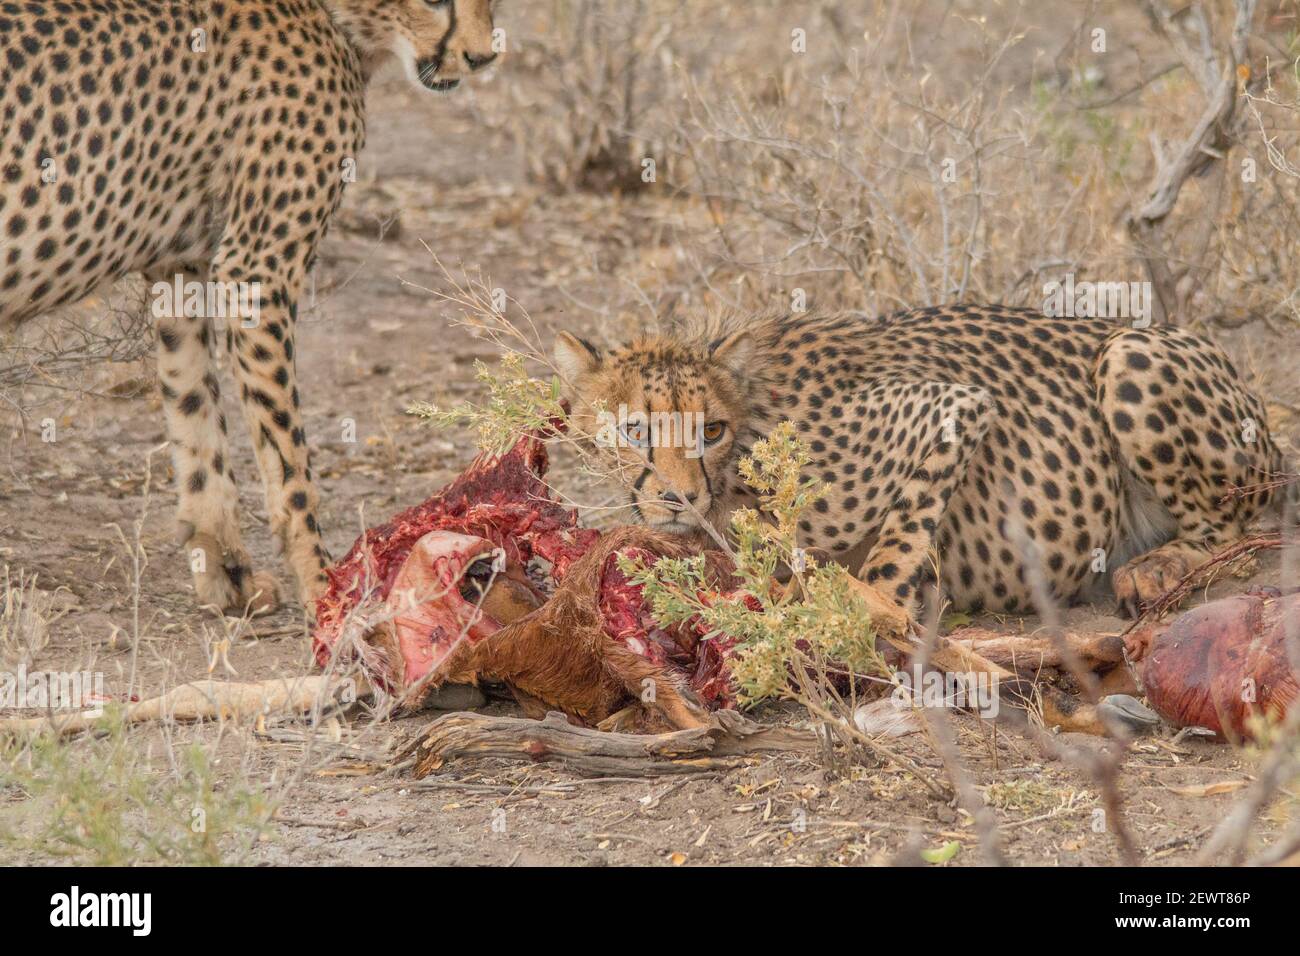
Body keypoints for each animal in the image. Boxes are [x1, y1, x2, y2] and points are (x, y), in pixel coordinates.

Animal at [1, 1, 501, 613]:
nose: (482, 57)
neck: (342, 23)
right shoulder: (256, 271)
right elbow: (288, 460)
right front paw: (327, 592)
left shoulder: (181, 266)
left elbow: (195, 412)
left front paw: (226, 570)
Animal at [553, 306, 1284, 629]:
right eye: (635, 431)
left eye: (710, 430)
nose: (680, 499)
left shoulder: (954, 403)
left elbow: (896, 540)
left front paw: (868, 609)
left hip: (1130, 352)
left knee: (1237, 535)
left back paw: (1158, 568)